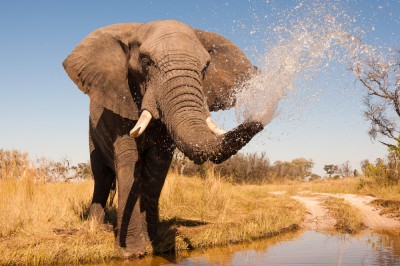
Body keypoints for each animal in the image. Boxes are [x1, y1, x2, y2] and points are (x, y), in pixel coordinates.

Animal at [61, 20, 262, 258]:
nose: (259, 120)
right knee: (101, 176)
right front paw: (131, 252)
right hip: (93, 135)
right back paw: (96, 227)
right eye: (146, 62)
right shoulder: (120, 102)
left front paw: (154, 243)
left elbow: (157, 167)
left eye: (205, 68)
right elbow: (129, 161)